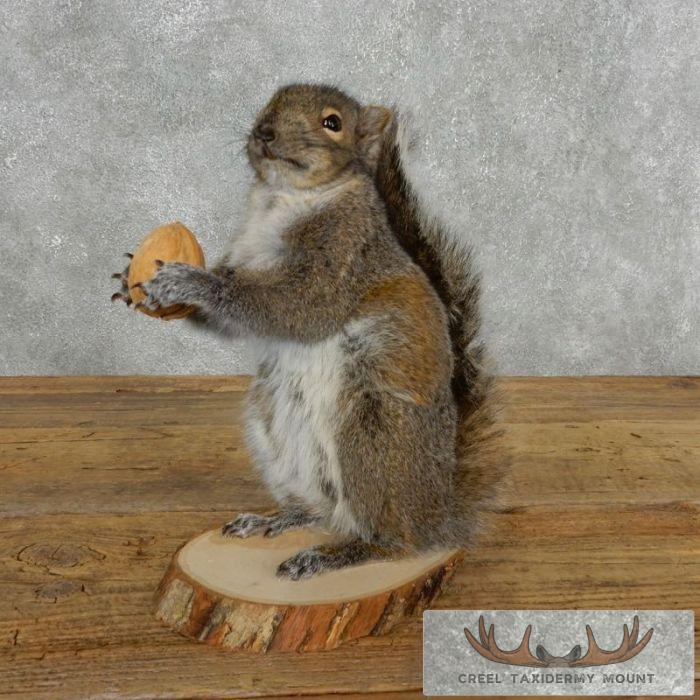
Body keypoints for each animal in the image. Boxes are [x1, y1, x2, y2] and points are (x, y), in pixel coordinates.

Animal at [112, 84, 504, 580]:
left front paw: (189, 282)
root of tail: (438, 516)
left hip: (372, 442)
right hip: (273, 437)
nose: (265, 131)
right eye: (269, 102)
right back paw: (275, 520)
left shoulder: (344, 258)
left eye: (332, 123)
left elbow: (295, 306)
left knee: (393, 541)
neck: (282, 199)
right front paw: (132, 279)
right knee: (320, 511)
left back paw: (336, 554)